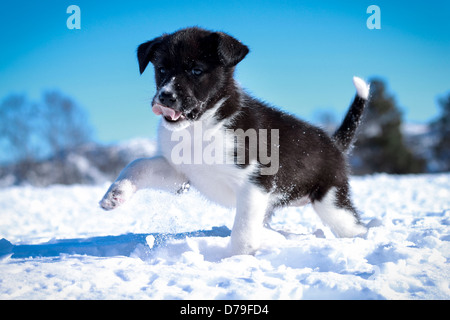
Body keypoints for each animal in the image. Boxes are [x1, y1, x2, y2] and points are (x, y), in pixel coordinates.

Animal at [100, 26, 370, 255]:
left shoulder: (255, 183)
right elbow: (138, 164)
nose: (165, 97)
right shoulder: (182, 175)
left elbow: (243, 230)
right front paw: (115, 194)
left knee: (356, 226)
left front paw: (236, 261)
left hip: (332, 202)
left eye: (196, 71)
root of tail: (334, 143)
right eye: (162, 70)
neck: (203, 126)